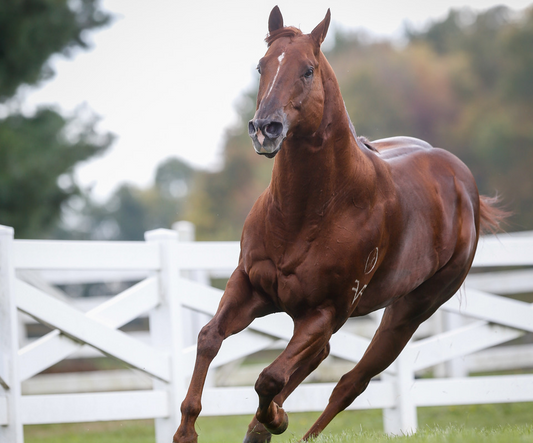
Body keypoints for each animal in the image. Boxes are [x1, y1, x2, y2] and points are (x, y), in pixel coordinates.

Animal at [175, 6, 502, 443]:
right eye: (262, 65)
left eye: (308, 70)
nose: (265, 129)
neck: (306, 213)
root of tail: (465, 184)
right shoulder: (250, 287)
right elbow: (210, 338)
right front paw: (186, 431)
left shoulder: (324, 311)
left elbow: (270, 377)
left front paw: (274, 419)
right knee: (320, 359)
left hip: (413, 309)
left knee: (350, 381)